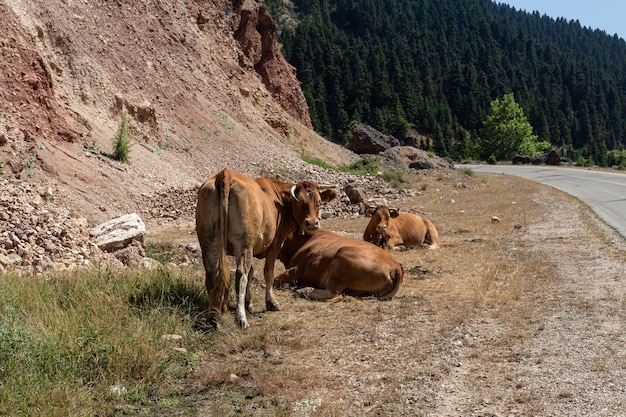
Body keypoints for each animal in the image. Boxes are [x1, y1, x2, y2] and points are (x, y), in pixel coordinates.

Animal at [195, 167, 336, 328]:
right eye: (299, 201)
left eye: (318, 202)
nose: (312, 223)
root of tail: (226, 173)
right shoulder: (275, 243)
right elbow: (268, 272)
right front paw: (271, 302)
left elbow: (251, 272)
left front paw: (248, 303)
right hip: (244, 243)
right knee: (240, 276)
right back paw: (241, 319)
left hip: (209, 241)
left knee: (213, 273)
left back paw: (213, 315)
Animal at [274, 229, 402, 300]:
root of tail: (396, 266)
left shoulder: (295, 270)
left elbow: (276, 280)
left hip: (341, 257)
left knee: (332, 292)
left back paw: (304, 291)